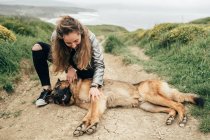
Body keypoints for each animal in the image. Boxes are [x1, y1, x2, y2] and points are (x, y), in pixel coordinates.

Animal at [50, 79, 203, 137]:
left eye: (57, 87)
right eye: (53, 94)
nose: (53, 97)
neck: (76, 89)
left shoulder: (98, 100)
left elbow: (93, 116)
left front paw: (91, 126)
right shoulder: (95, 105)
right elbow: (89, 116)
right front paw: (82, 126)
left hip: (152, 98)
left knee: (178, 104)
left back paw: (182, 119)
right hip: (148, 106)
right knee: (172, 108)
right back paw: (171, 117)